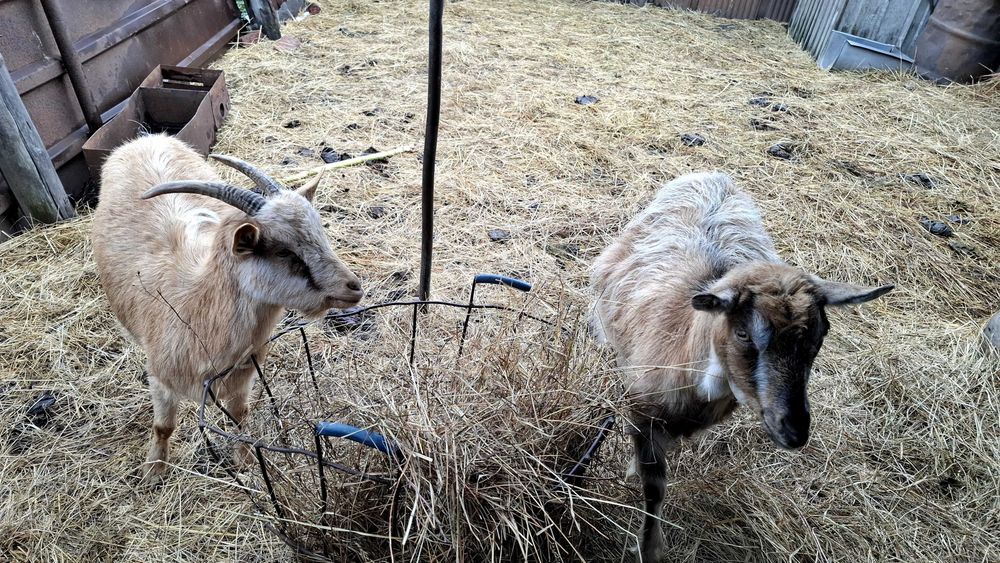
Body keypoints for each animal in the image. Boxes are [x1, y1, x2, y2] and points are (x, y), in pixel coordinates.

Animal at [92, 134, 363, 483]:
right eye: (284, 252)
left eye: (320, 234)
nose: (353, 287)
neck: (197, 306)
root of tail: (145, 138)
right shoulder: (161, 378)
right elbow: (163, 426)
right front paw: (154, 471)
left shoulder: (243, 377)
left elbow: (239, 418)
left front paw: (245, 462)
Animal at [590, 172, 892, 561]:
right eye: (744, 332)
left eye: (821, 334)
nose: (795, 429)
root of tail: (713, 175)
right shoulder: (644, 414)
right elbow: (653, 487)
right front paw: (648, 547)